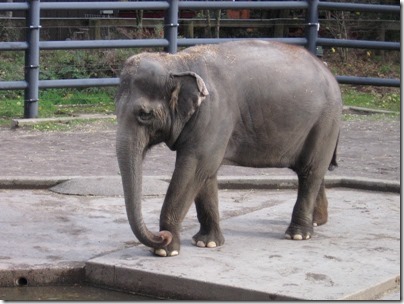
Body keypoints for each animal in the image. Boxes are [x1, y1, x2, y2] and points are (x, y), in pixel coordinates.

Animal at [115, 39, 342, 256]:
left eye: (145, 114)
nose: (161, 235)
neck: (178, 62)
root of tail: (328, 72)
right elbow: (205, 174)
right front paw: (207, 243)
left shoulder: (214, 115)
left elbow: (194, 168)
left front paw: (165, 251)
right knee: (313, 170)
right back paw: (318, 221)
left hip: (325, 121)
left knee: (310, 171)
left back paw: (298, 235)